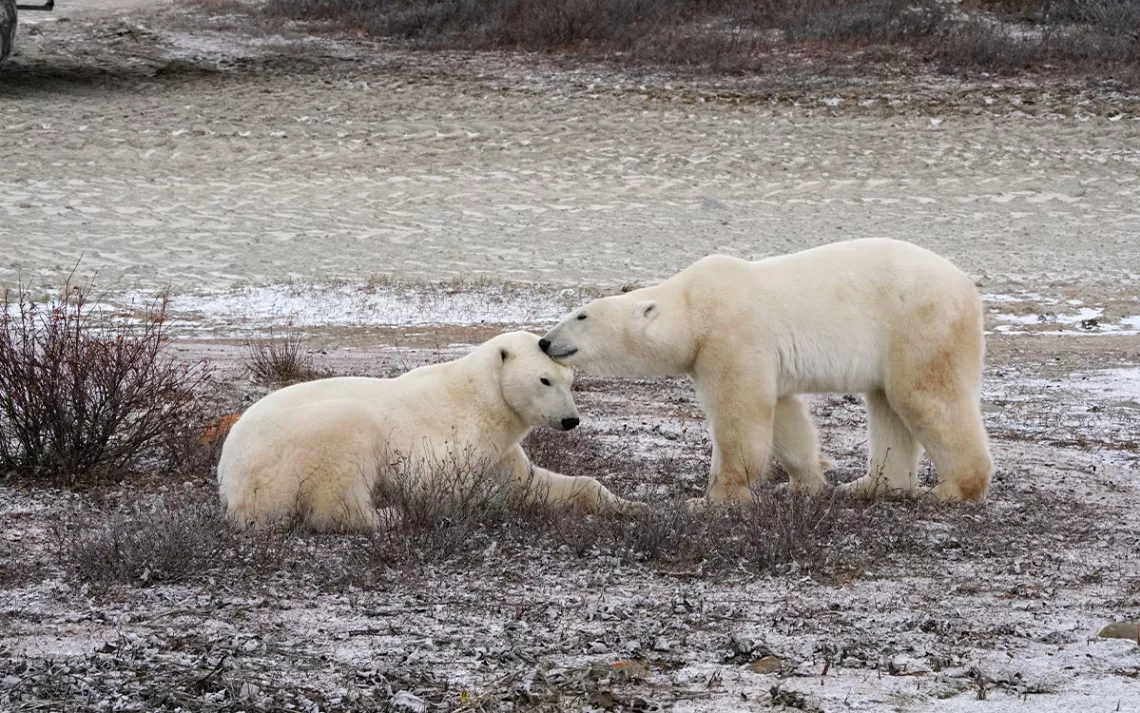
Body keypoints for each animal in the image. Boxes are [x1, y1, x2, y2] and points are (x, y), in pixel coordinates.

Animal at [217, 333, 638, 529]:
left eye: (570, 381)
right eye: (544, 380)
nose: (570, 420)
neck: (482, 399)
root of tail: (230, 482)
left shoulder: (501, 450)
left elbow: (533, 482)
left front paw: (631, 505)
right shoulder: (446, 436)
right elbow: (440, 486)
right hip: (295, 450)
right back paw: (390, 515)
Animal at [538, 239, 994, 506]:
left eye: (580, 315)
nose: (544, 341)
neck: (693, 306)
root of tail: (967, 288)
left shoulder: (731, 335)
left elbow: (740, 412)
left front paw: (718, 497)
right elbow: (785, 417)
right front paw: (804, 482)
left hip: (917, 322)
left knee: (924, 396)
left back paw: (953, 489)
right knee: (886, 405)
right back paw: (870, 485)